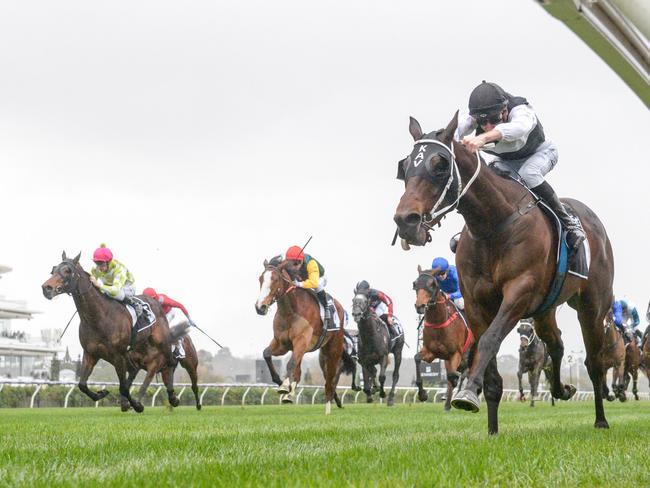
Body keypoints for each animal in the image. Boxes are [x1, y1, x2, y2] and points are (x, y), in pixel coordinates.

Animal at [42, 254, 187, 414]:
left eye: (68, 271)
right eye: (53, 269)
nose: (46, 288)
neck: (98, 317)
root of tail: (155, 301)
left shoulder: (118, 355)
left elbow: (123, 387)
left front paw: (137, 405)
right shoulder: (91, 353)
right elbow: (82, 384)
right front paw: (101, 394)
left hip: (160, 341)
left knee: (170, 363)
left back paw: (173, 397)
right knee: (136, 369)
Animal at [254, 255, 354, 412]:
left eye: (275, 279)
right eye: (260, 279)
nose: (260, 307)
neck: (290, 311)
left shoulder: (301, 341)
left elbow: (290, 364)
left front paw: (284, 387)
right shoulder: (282, 344)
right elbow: (267, 354)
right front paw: (281, 384)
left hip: (332, 349)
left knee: (330, 379)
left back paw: (328, 407)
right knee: (301, 373)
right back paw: (291, 395)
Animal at [412, 266, 474, 412]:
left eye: (432, 284)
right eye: (415, 284)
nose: (420, 306)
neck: (438, 322)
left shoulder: (456, 353)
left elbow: (453, 375)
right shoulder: (431, 353)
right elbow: (417, 358)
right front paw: (422, 394)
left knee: (467, 372)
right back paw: (448, 402)